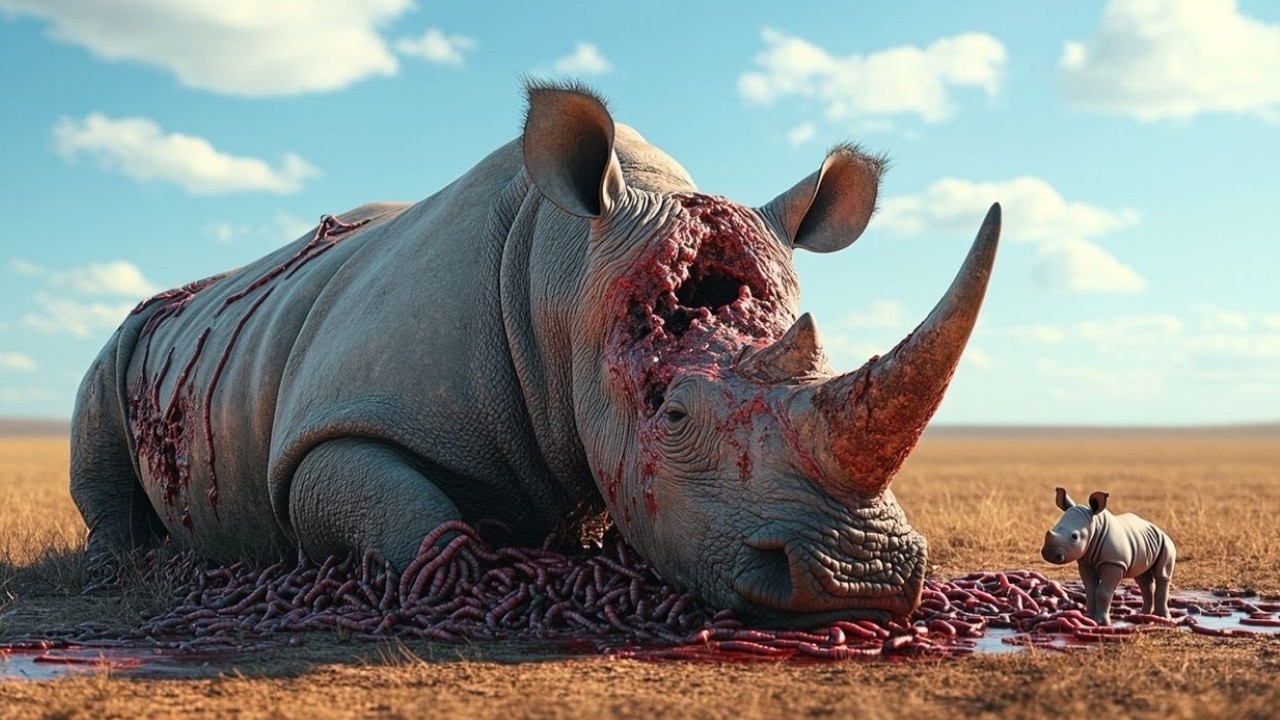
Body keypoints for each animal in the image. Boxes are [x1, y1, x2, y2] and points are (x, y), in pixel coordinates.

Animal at [71, 83, 1000, 627]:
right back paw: (127, 569)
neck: (563, 280)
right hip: (126, 342)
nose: (860, 579)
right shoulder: (334, 432)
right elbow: (411, 517)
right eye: (671, 413)